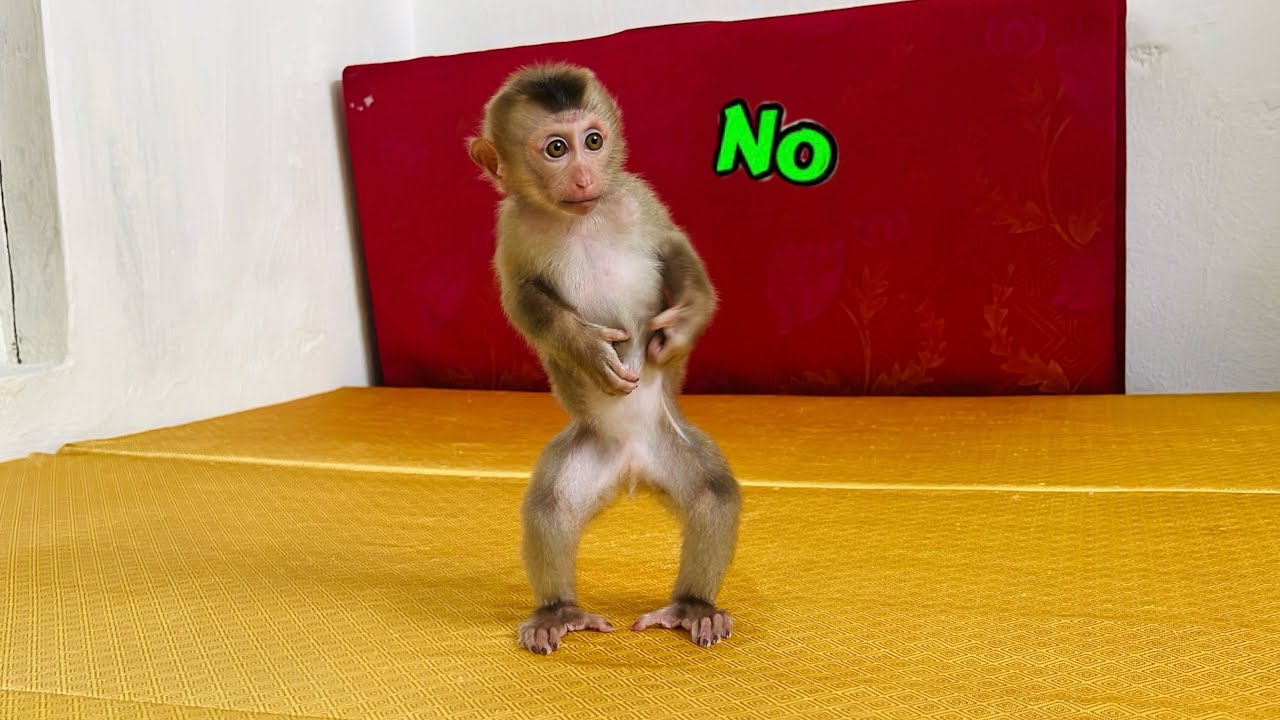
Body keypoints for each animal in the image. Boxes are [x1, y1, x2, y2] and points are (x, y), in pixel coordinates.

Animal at [467, 63, 741, 655]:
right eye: (556, 148)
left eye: (593, 141)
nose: (585, 178)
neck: (581, 217)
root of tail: (633, 467)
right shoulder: (512, 226)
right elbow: (523, 298)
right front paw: (585, 346)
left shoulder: (635, 197)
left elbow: (674, 249)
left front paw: (681, 325)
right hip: (589, 452)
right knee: (551, 506)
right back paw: (558, 611)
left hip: (670, 440)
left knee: (713, 494)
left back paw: (694, 606)